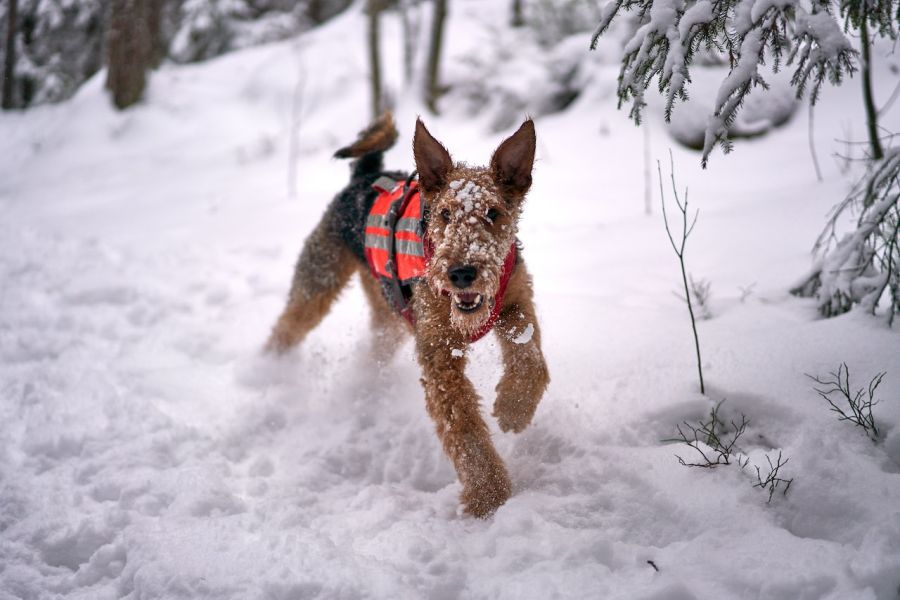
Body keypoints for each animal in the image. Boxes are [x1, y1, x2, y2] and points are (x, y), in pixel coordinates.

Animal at [266, 115, 548, 516]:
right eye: (444, 213)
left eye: (493, 213)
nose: (461, 273)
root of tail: (364, 175)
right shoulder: (439, 356)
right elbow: (464, 427)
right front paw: (489, 497)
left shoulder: (515, 300)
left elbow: (531, 358)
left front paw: (513, 409)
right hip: (318, 283)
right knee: (285, 329)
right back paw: (267, 374)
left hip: (389, 314)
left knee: (374, 346)